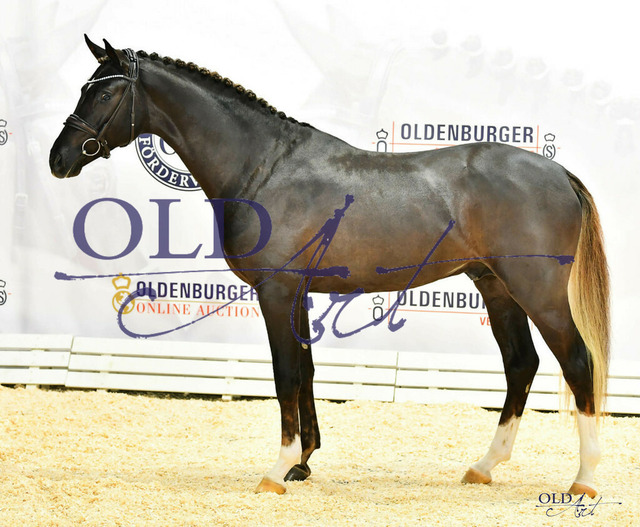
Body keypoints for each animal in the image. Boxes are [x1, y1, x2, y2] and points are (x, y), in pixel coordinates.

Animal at [50, 36, 610, 498]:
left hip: (537, 292)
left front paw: (276, 471)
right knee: (521, 364)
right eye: (83, 89)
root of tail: (557, 172)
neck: (264, 166)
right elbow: (307, 371)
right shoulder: (298, 293)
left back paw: (583, 479)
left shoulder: (276, 291)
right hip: (495, 286)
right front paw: (302, 462)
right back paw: (484, 466)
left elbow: (284, 373)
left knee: (576, 361)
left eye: (104, 93)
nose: (59, 159)